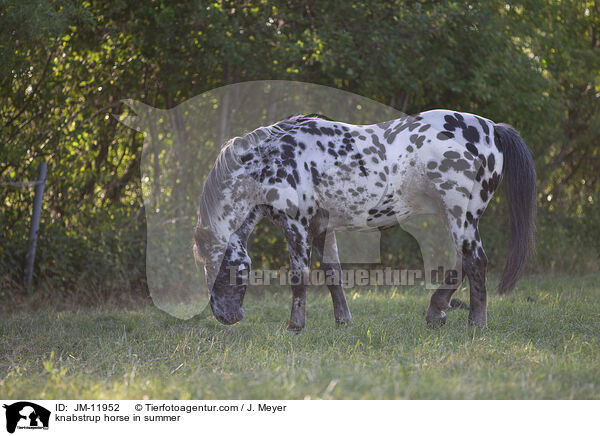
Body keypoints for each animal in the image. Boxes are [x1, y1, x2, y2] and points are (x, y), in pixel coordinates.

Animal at [195, 110, 536, 330]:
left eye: (218, 265)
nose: (225, 316)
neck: (275, 160)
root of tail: (492, 128)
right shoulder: (321, 228)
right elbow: (332, 274)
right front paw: (343, 321)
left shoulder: (296, 226)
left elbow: (298, 276)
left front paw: (295, 326)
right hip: (454, 218)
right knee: (462, 261)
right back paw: (436, 311)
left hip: (460, 215)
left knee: (475, 261)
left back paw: (476, 323)